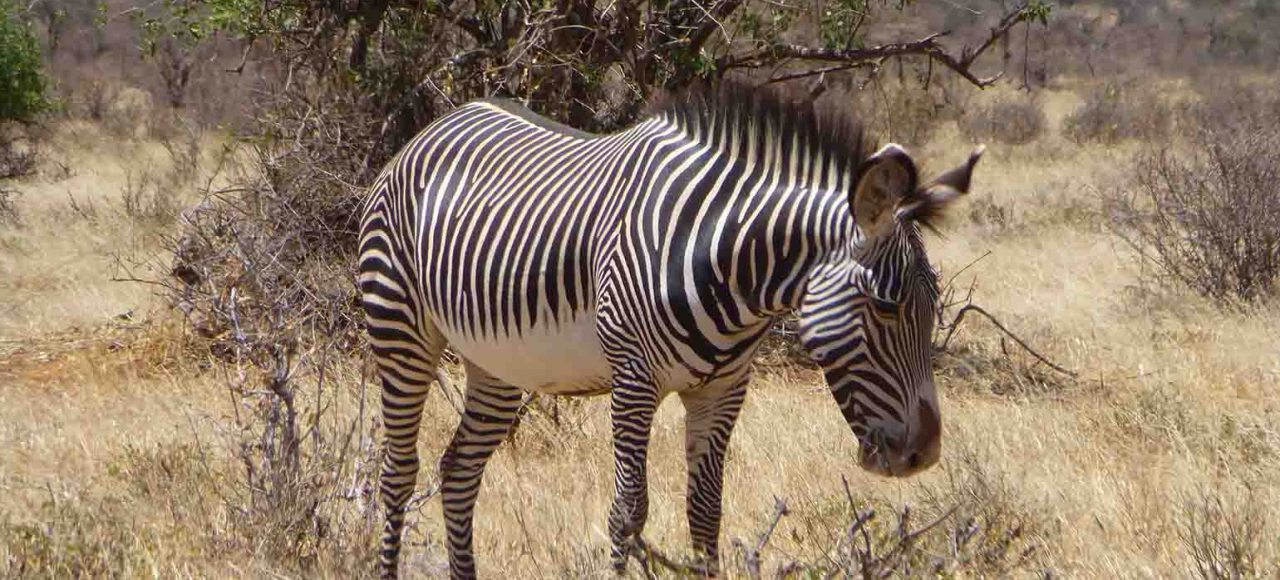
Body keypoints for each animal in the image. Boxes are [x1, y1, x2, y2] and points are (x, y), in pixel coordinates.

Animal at [358, 82, 977, 578]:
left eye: (932, 308)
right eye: (886, 307)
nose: (924, 454)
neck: (727, 263)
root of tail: (434, 126)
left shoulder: (723, 390)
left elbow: (705, 512)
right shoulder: (633, 381)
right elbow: (628, 512)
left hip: (500, 364)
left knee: (458, 470)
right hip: (399, 329)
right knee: (399, 471)